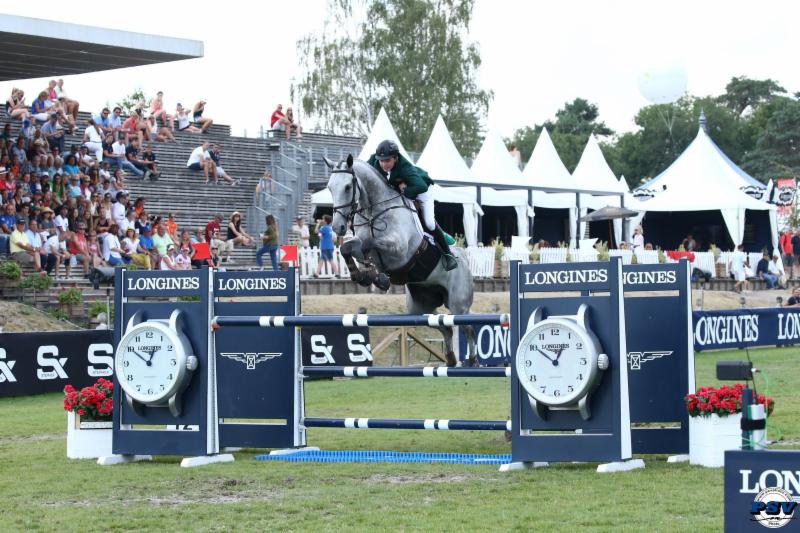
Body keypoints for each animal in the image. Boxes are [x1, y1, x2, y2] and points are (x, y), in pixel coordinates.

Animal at [324, 154, 476, 366]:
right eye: (330, 187)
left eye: (347, 187)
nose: (337, 227)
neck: (374, 211)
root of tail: (464, 258)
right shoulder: (360, 244)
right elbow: (348, 248)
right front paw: (365, 276)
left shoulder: (400, 250)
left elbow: (369, 244)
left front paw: (377, 277)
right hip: (419, 307)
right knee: (445, 327)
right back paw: (451, 360)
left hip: (458, 305)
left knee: (468, 329)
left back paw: (472, 360)